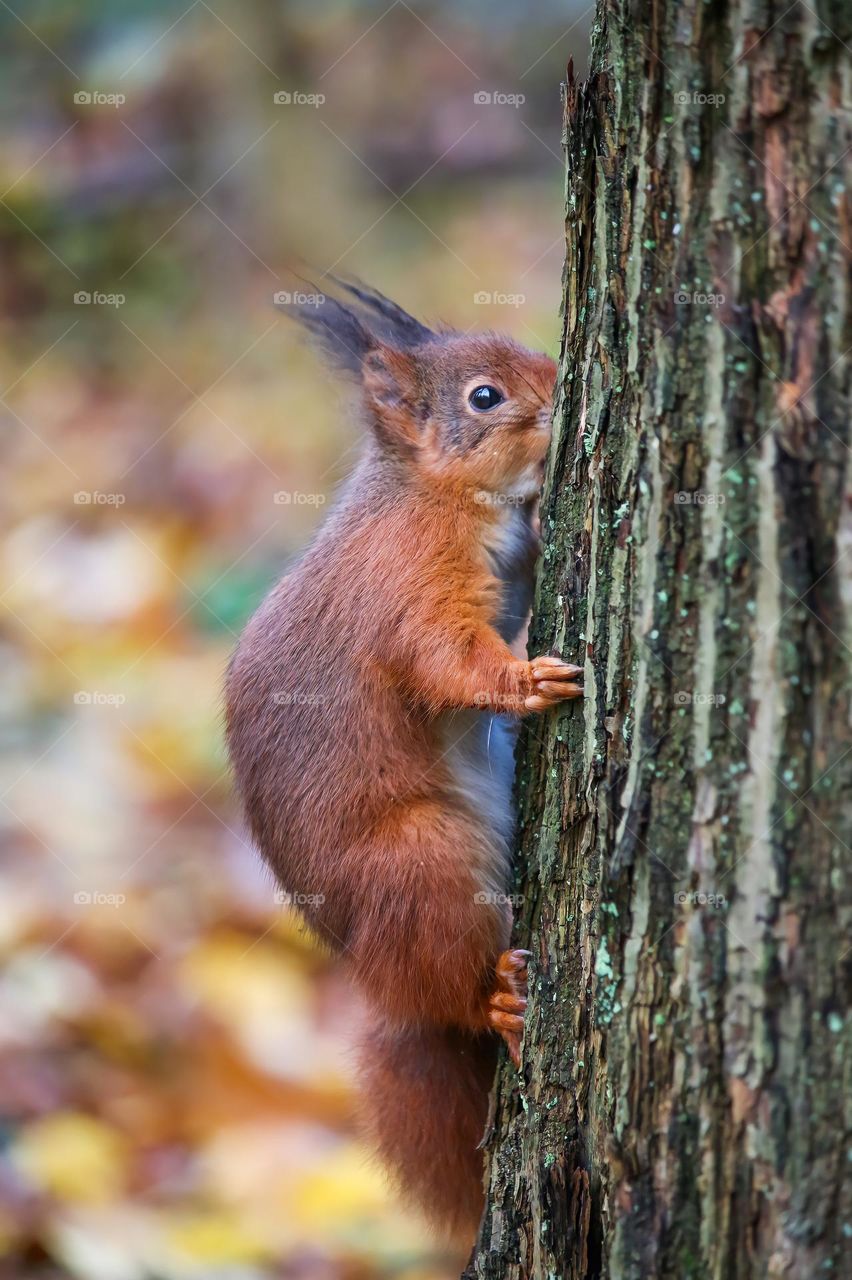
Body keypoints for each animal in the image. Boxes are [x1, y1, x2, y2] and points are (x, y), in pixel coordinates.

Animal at [222, 280, 580, 1239]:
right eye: (484, 397)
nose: (561, 383)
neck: (427, 492)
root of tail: (373, 972)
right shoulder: (408, 586)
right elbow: (445, 657)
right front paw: (525, 679)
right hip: (420, 862)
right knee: (453, 989)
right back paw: (494, 997)